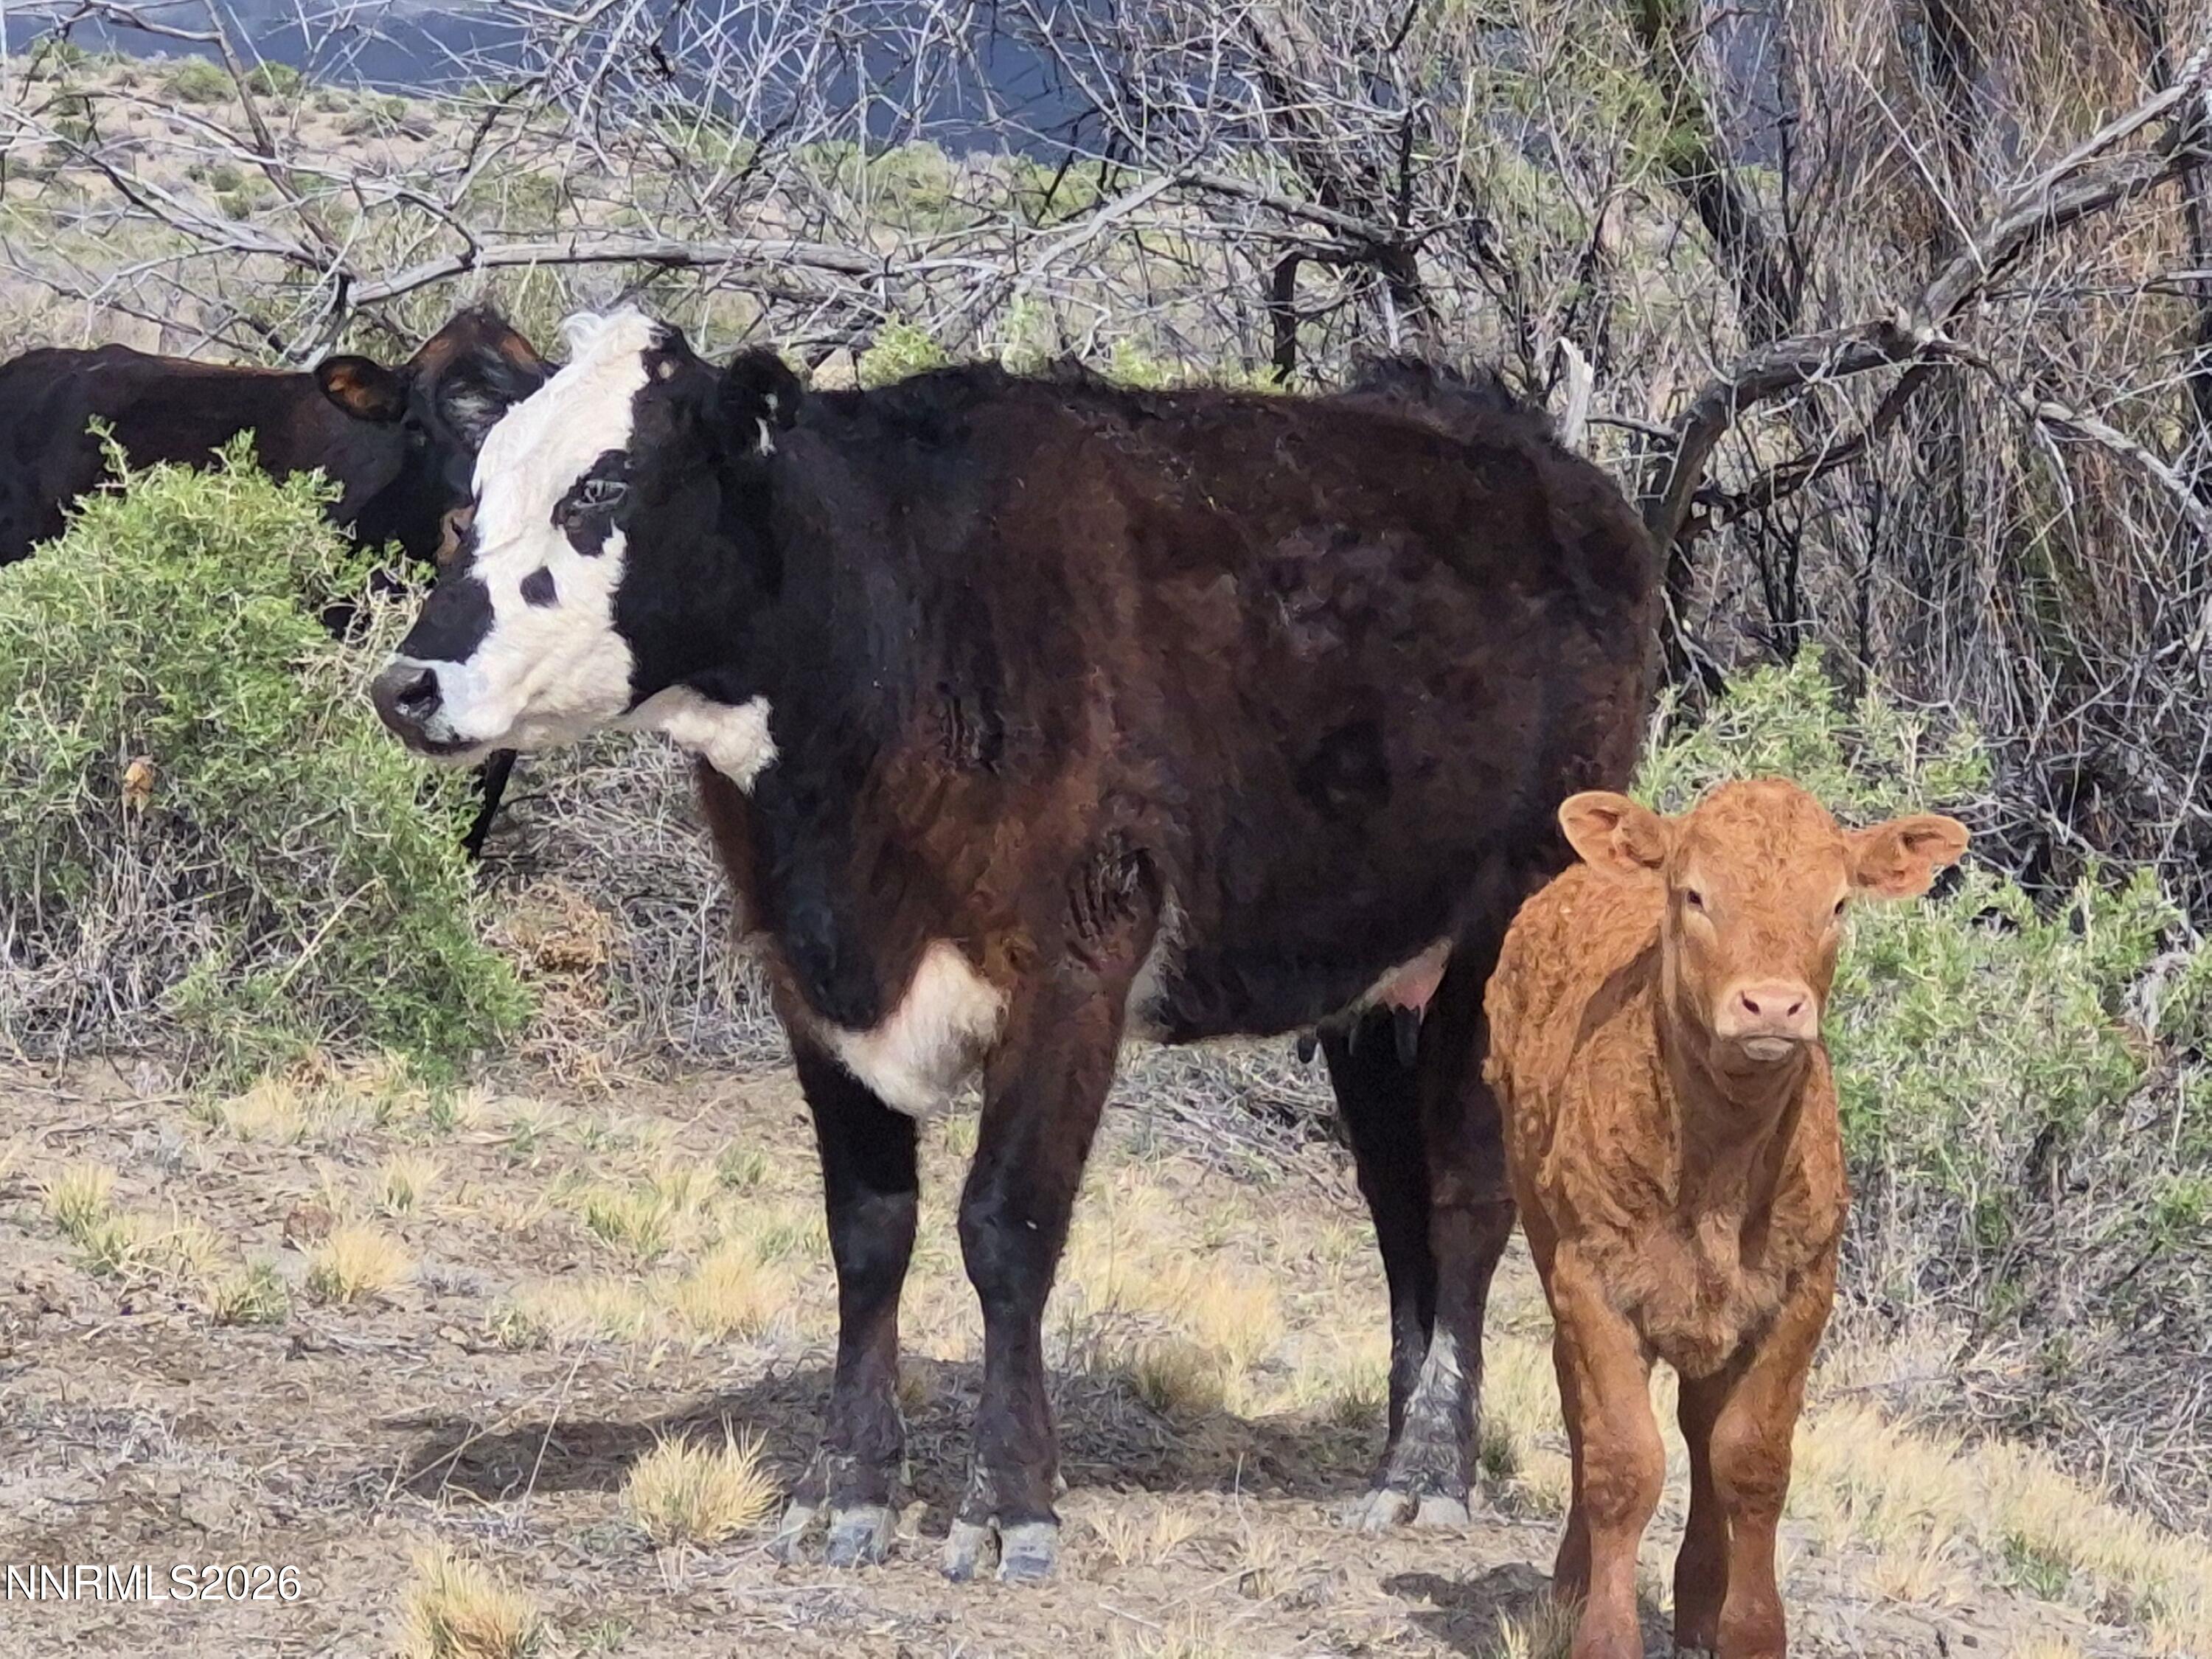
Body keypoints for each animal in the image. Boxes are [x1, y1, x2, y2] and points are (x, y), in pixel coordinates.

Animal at [367, 308, 1660, 1582]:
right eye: (471, 491)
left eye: (604, 485)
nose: (407, 685)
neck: (901, 621)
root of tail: (1547, 466)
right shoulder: (812, 982)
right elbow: (867, 1232)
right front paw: (846, 1492)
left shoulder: (1071, 977)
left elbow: (1007, 1230)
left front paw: (1008, 1505)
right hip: (1376, 981)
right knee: (1396, 1203)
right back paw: (1403, 1451)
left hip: (1505, 938)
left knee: (1464, 1191)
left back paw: (1428, 1475)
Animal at [1483, 779, 1968, 1658]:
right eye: (1695, 895)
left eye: (1837, 903)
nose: (1772, 1004)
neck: (1718, 1168)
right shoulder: (1593, 1282)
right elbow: (1622, 1462)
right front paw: (1604, 1632)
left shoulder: (1801, 1293)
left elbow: (1751, 1462)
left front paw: (1748, 1629)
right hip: (1543, 1233)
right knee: (1583, 1411)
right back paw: (1571, 1586)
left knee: (1703, 1426)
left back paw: (1701, 1600)